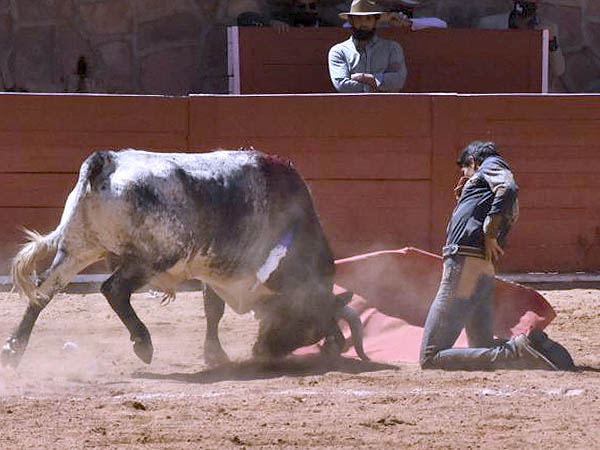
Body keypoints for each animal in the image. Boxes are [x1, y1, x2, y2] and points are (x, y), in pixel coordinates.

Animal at [2, 149, 368, 368]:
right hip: (152, 257)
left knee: (44, 290)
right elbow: (215, 310)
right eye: (309, 326)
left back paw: (14, 349)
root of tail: (109, 160)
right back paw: (143, 343)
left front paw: (215, 355)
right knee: (113, 290)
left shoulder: (214, 271)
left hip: (78, 247)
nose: (262, 352)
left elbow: (212, 310)